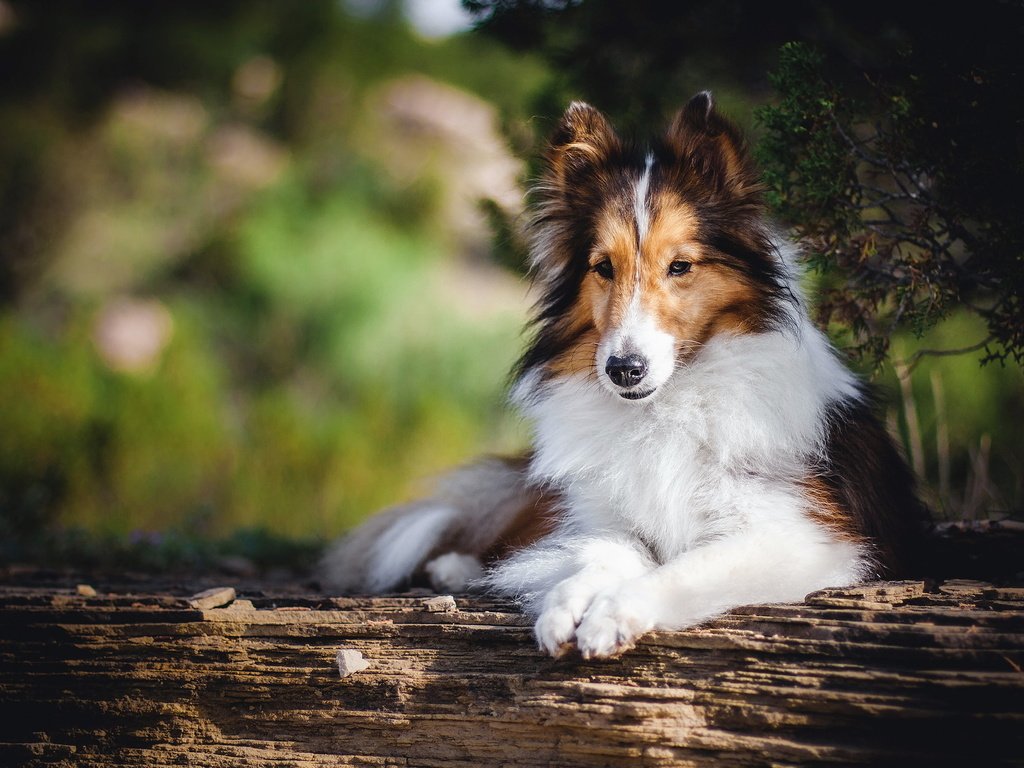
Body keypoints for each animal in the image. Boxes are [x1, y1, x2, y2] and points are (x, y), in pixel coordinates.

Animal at [321, 93, 929, 663]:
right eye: (603, 267)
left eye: (680, 266)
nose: (623, 369)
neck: (666, 407)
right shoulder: (607, 521)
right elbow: (601, 555)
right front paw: (567, 603)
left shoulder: (804, 538)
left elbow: (685, 567)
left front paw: (613, 614)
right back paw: (457, 567)